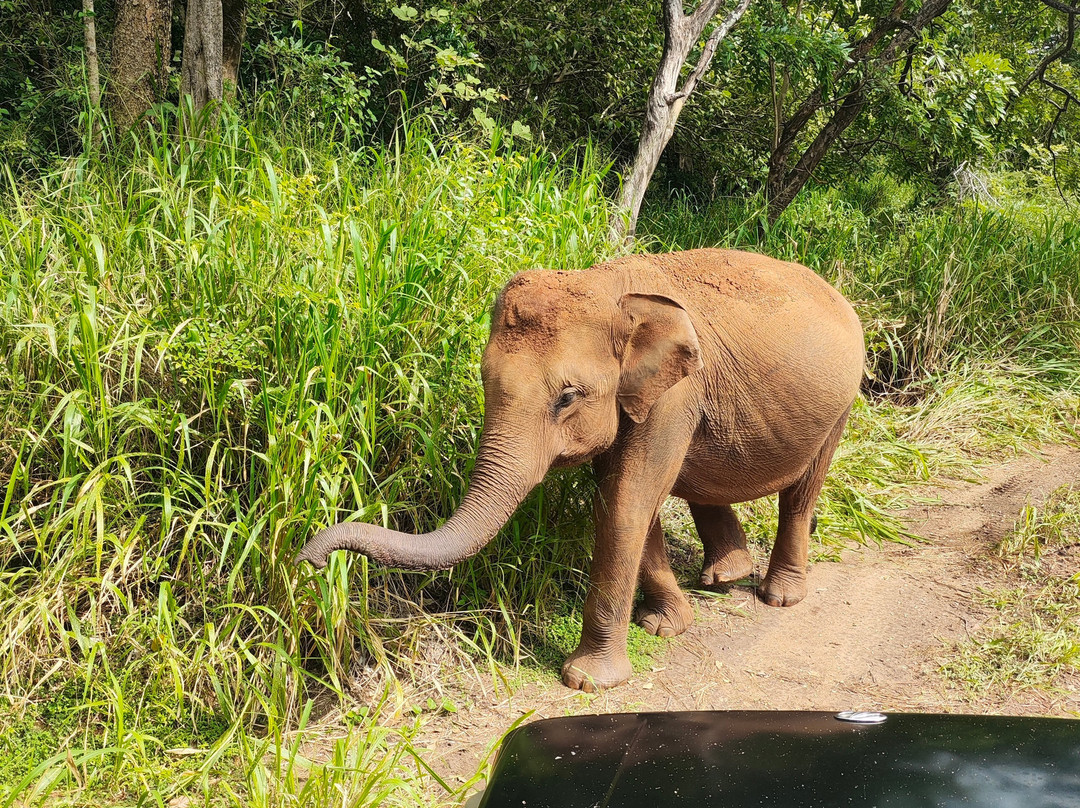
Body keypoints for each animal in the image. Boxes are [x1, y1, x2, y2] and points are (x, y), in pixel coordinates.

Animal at [297, 248, 865, 691]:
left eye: (567, 397)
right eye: (483, 381)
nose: (309, 562)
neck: (607, 286)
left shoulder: (675, 396)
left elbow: (627, 504)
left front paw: (588, 680)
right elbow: (624, 499)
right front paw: (665, 627)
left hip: (841, 400)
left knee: (803, 492)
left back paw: (779, 596)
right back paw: (725, 577)